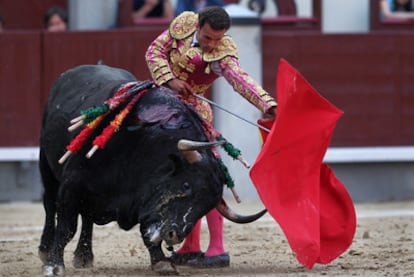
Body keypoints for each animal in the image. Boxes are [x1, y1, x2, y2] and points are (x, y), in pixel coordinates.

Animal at [38, 64, 266, 274]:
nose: (173, 235)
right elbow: (66, 227)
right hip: (46, 166)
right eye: (186, 185)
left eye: (206, 207)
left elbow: (147, 229)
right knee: (50, 205)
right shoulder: (72, 185)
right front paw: (54, 265)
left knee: (87, 218)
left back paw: (84, 255)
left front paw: (161, 261)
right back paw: (45, 250)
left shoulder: (145, 198)